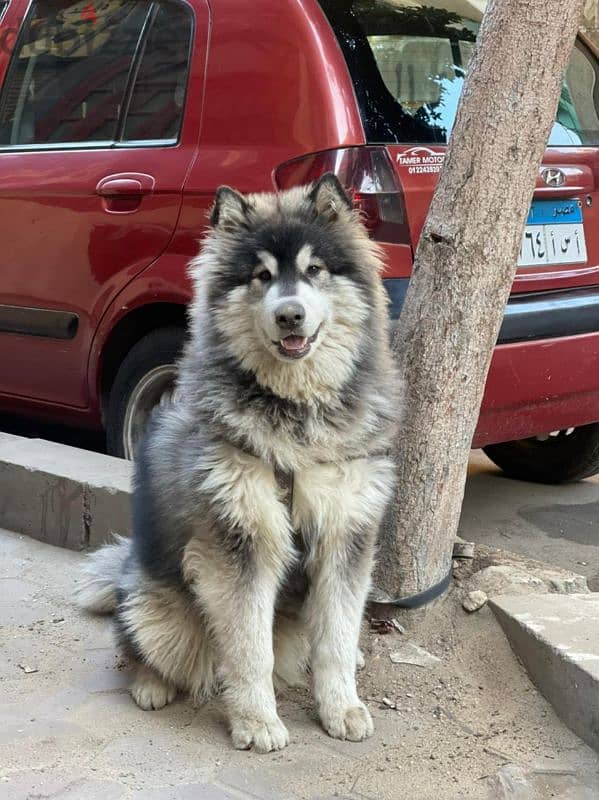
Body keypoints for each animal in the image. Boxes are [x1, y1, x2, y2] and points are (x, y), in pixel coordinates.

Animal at [76, 173, 404, 752]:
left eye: (314, 270)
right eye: (261, 276)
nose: (290, 314)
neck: (297, 416)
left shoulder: (346, 533)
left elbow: (337, 639)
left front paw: (341, 706)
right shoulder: (239, 542)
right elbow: (250, 650)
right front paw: (256, 722)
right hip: (156, 610)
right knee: (143, 648)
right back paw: (150, 685)